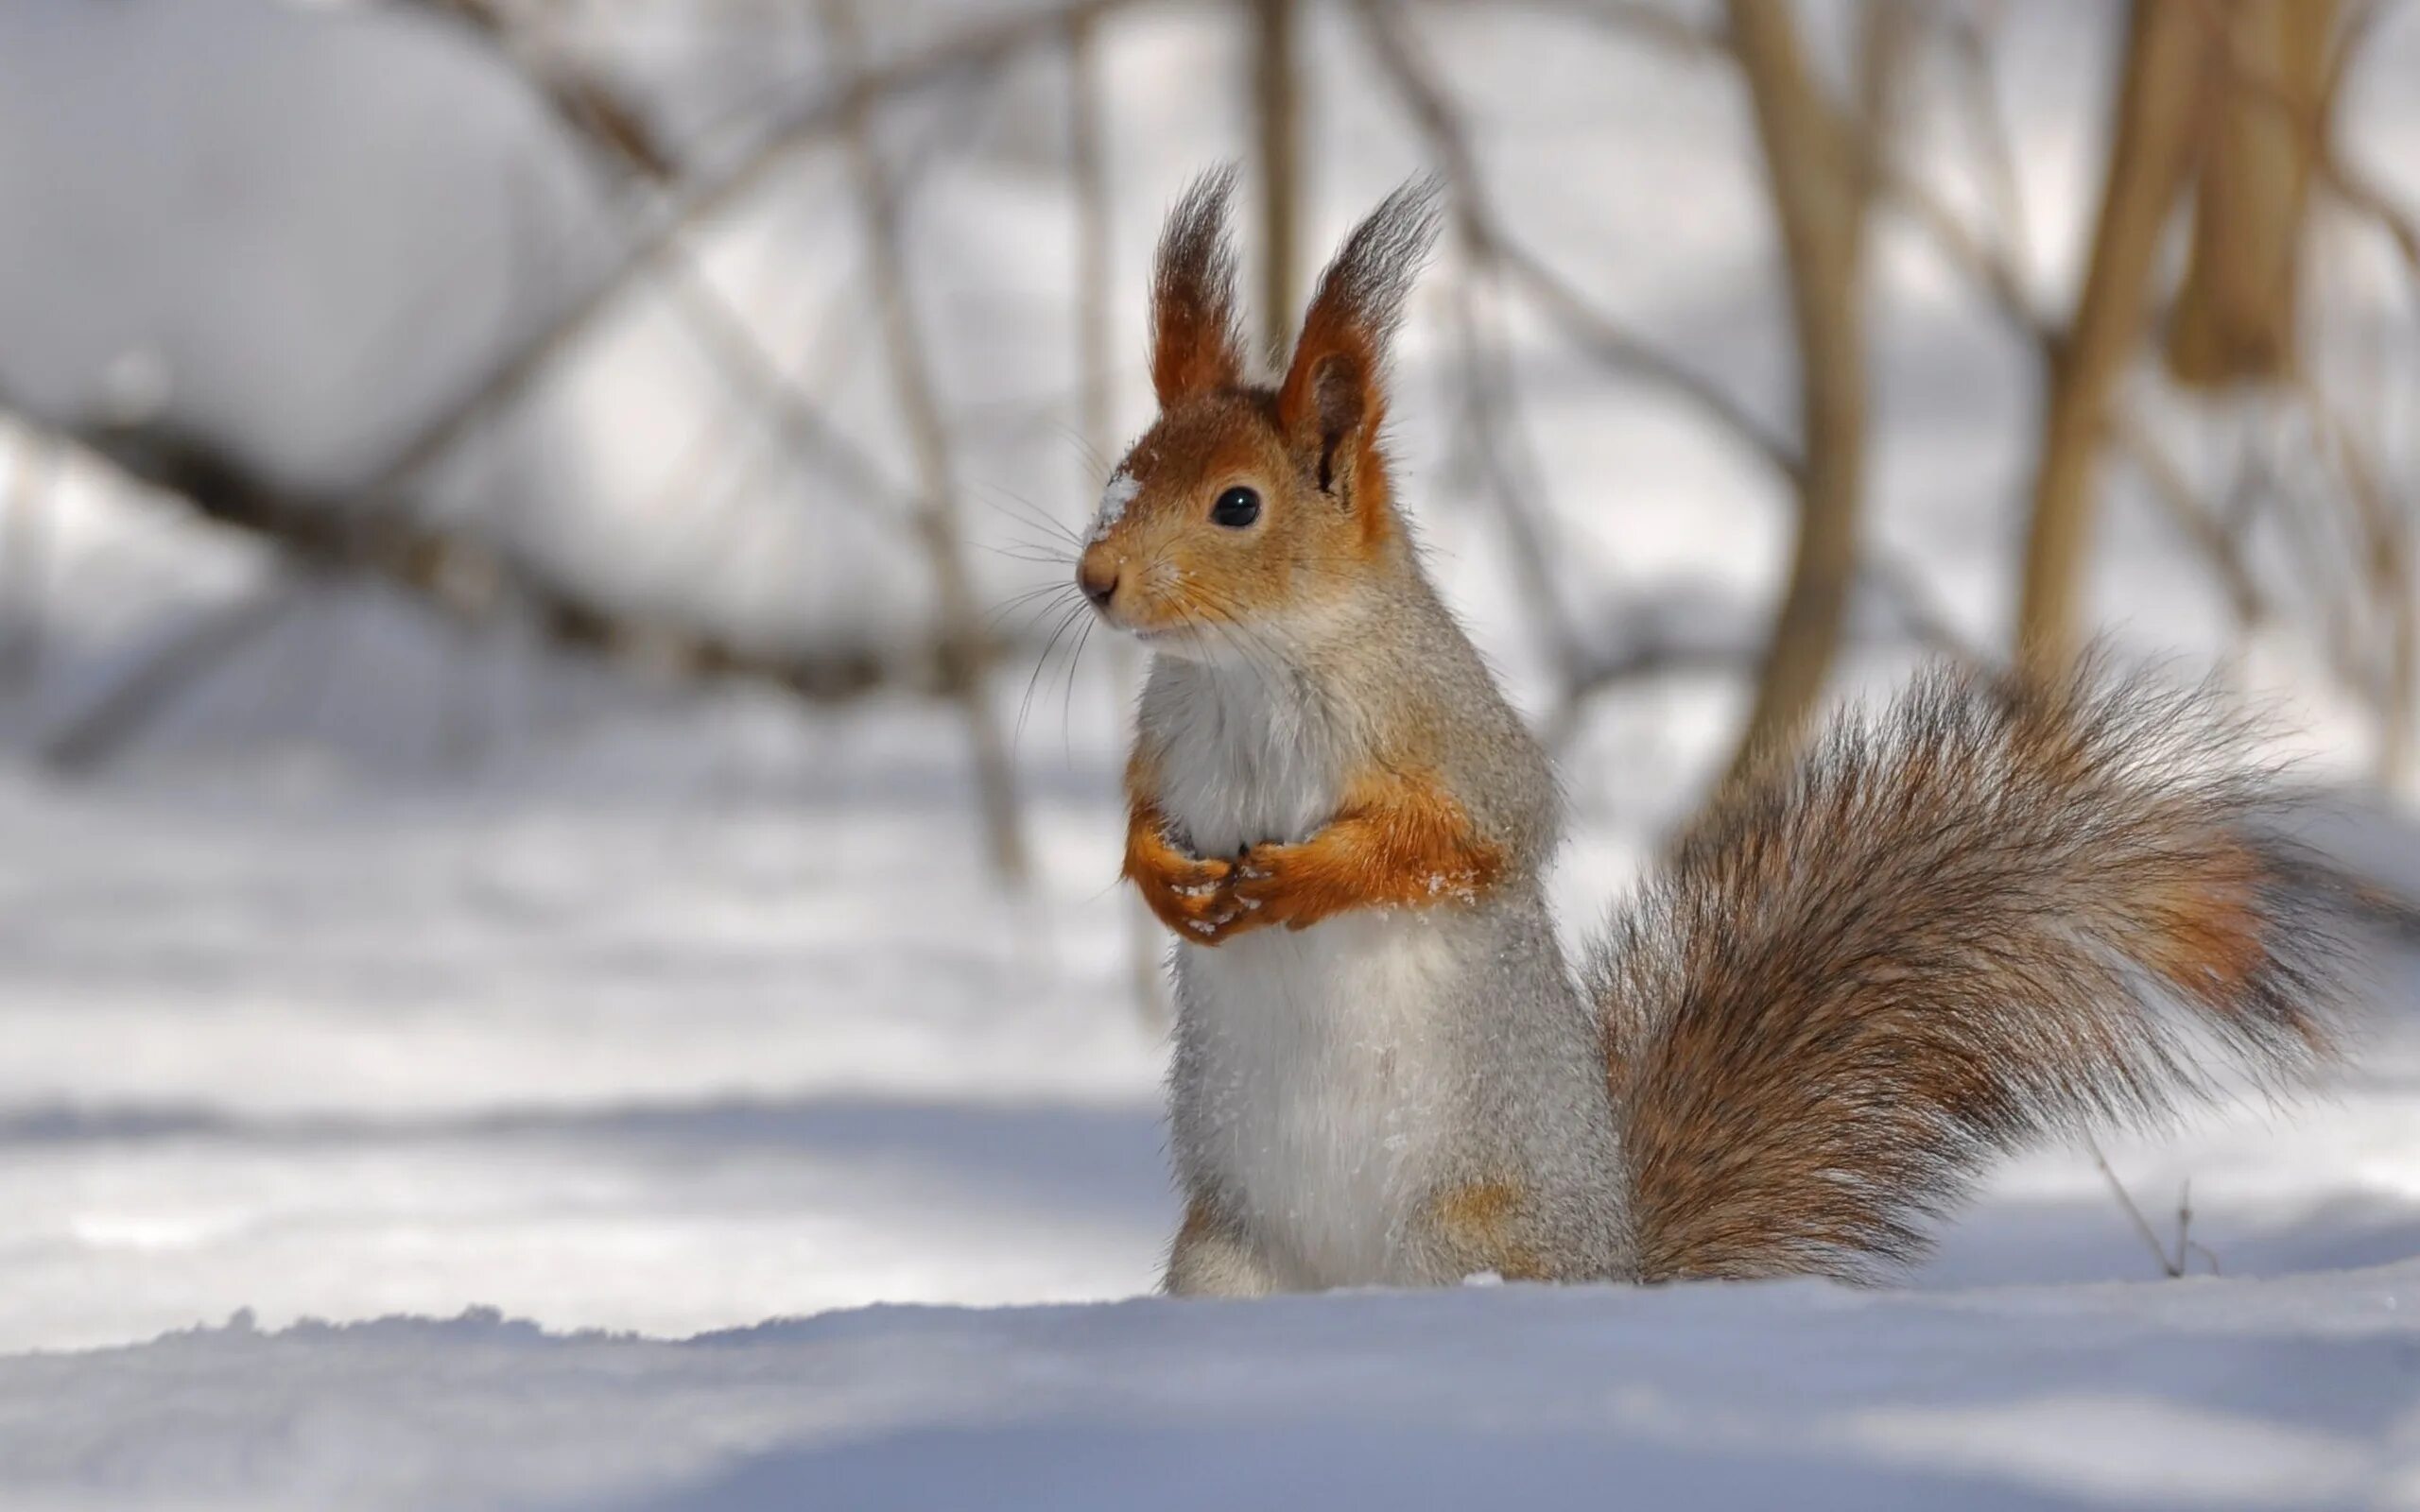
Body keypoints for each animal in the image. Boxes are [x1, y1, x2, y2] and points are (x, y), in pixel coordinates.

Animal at [1083, 167, 2361, 1297]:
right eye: (1123, 472)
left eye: (1237, 505)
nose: (1096, 580)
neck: (1250, 669)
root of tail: (1621, 1269)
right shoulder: (1167, 733)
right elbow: (1143, 812)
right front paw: (1160, 877)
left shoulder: (1450, 732)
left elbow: (1472, 841)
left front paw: (1302, 879)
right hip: (1224, 1258)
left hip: (1459, 1235)